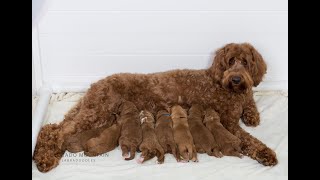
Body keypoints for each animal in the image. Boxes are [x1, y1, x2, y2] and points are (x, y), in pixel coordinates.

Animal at [33, 43, 276, 172]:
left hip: (90, 111)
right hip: (97, 112)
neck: (222, 85)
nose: (236, 78)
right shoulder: (228, 123)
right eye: (230, 61)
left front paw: (252, 113)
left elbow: (251, 99)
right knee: (57, 132)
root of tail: (96, 85)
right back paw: (45, 158)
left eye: (246, 62)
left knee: (50, 128)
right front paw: (265, 152)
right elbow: (248, 140)